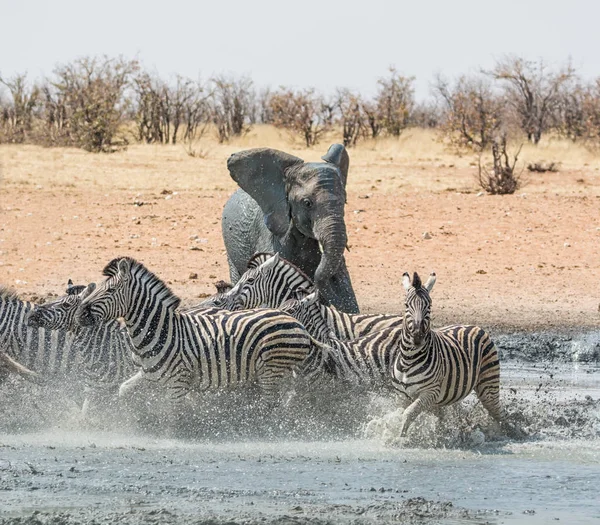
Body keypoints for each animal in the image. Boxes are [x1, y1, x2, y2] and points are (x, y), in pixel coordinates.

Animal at [78, 256, 322, 400]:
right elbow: (126, 392)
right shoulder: (149, 377)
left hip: (272, 372)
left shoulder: (178, 383)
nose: (81, 313)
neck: (161, 330)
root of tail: (296, 323)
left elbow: (174, 421)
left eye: (109, 291)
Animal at [390, 270, 502, 438]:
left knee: (498, 414)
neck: (408, 360)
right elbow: (398, 414)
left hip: (489, 385)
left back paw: (509, 433)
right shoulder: (401, 396)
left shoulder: (429, 393)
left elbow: (408, 414)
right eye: (406, 305)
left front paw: (398, 439)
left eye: (429, 306)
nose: (417, 336)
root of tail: (473, 325)